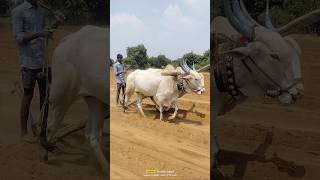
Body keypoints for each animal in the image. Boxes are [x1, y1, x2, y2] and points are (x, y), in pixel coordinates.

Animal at [39, 25, 109, 176]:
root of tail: (69, 38)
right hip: (62, 94)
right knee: (51, 125)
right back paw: (45, 156)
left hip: (95, 99)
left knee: (93, 134)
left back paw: (106, 168)